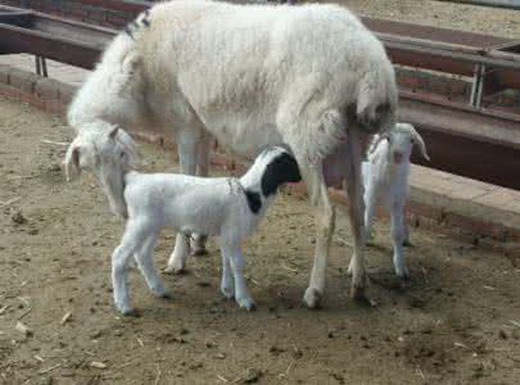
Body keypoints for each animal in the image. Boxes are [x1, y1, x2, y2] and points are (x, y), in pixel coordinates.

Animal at [64, 124, 300, 314]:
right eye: (290, 163)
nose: (301, 176)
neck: (249, 193)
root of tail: (133, 178)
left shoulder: (226, 235)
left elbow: (227, 260)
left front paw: (227, 290)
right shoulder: (233, 233)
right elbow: (238, 264)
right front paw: (245, 299)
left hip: (151, 225)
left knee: (142, 255)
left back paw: (160, 290)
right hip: (140, 223)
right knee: (120, 256)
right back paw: (124, 305)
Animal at [362, 122, 430, 280]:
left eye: (412, 140)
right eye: (388, 138)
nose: (397, 154)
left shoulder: (398, 201)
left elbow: (396, 233)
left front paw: (400, 265)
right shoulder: (371, 196)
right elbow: (366, 227)